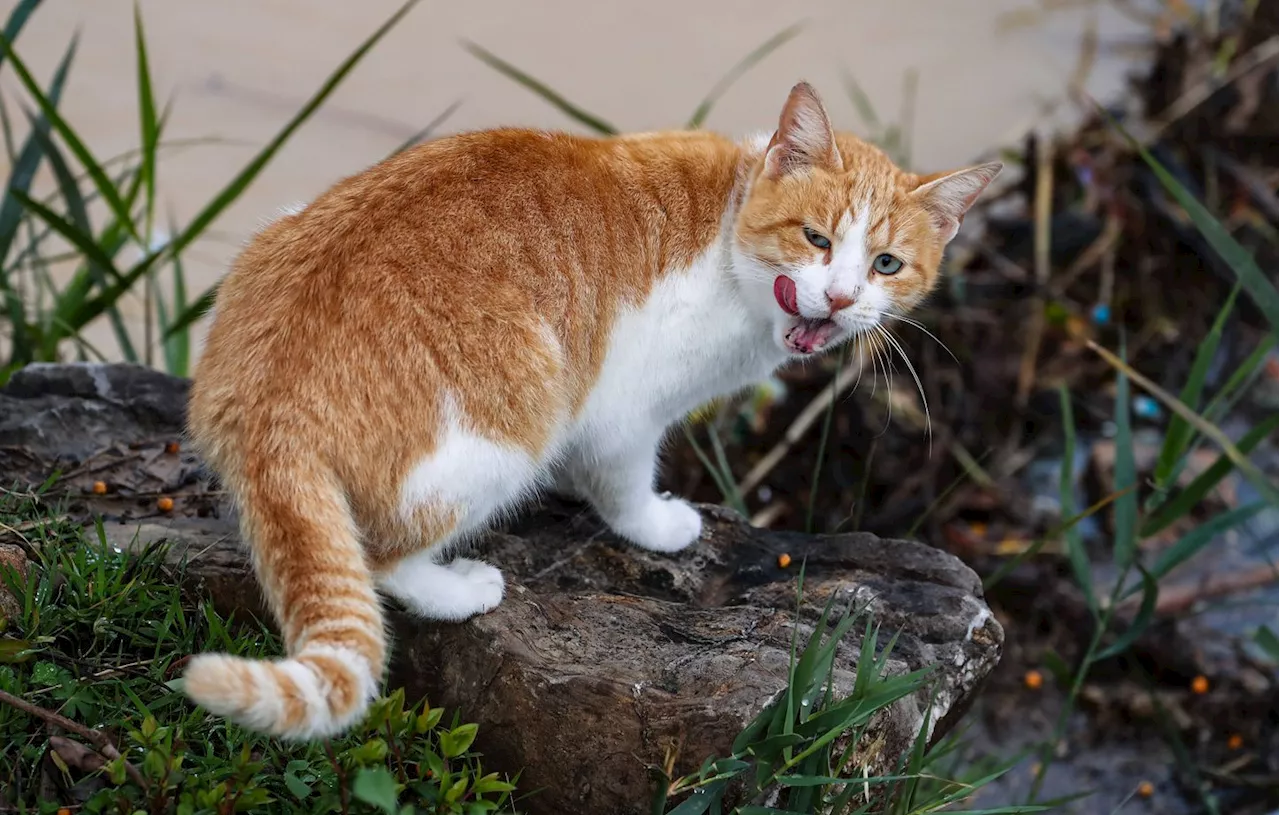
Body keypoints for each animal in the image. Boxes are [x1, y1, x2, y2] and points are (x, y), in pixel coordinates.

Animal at [180, 80, 998, 736]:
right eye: (815, 238)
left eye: (886, 264)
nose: (839, 297)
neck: (729, 227)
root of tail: (264, 402)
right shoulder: (624, 415)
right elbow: (625, 486)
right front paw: (659, 525)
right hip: (519, 418)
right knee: (382, 559)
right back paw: (459, 588)